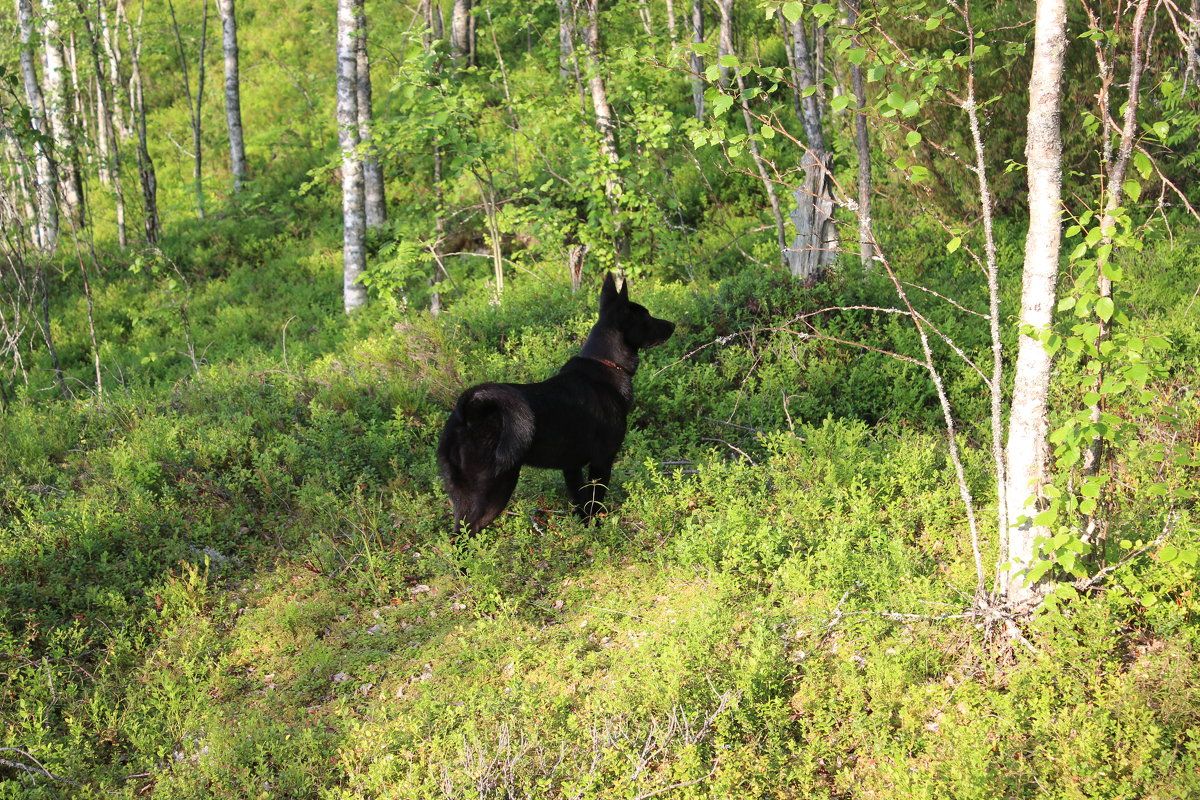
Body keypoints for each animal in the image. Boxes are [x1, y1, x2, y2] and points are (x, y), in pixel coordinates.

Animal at [436, 272, 676, 534]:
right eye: (646, 316)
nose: (672, 325)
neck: (606, 362)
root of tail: (469, 412)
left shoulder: (571, 466)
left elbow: (581, 505)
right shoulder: (602, 461)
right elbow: (595, 503)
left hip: (461, 492)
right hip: (495, 487)